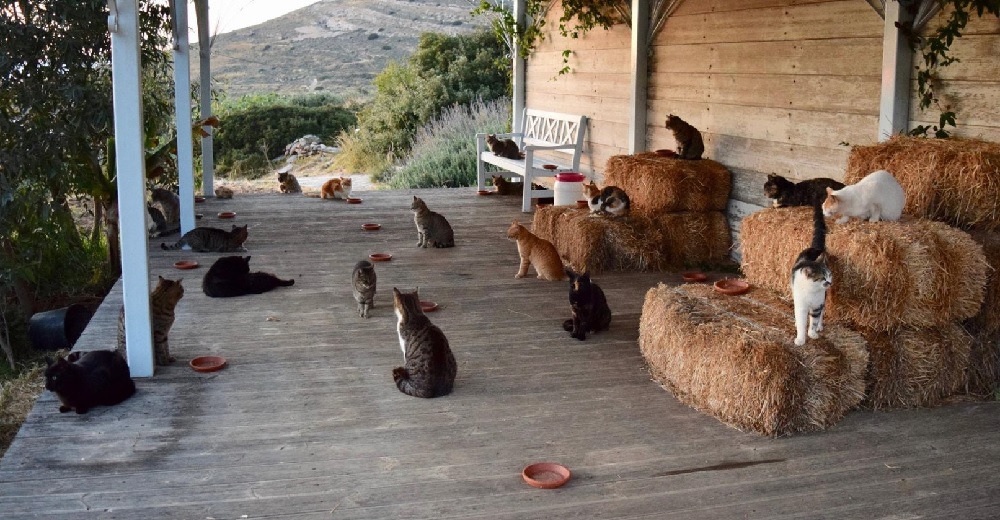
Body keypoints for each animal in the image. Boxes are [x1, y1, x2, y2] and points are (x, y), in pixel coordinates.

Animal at [792, 202, 832, 346]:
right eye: (822, 278)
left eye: (829, 275)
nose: (829, 282)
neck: (812, 291)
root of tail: (815, 248)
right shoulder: (801, 305)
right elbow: (802, 322)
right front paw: (800, 338)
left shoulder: (817, 305)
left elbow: (814, 320)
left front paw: (812, 333)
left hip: (824, 297)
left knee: (822, 312)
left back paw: (820, 326)